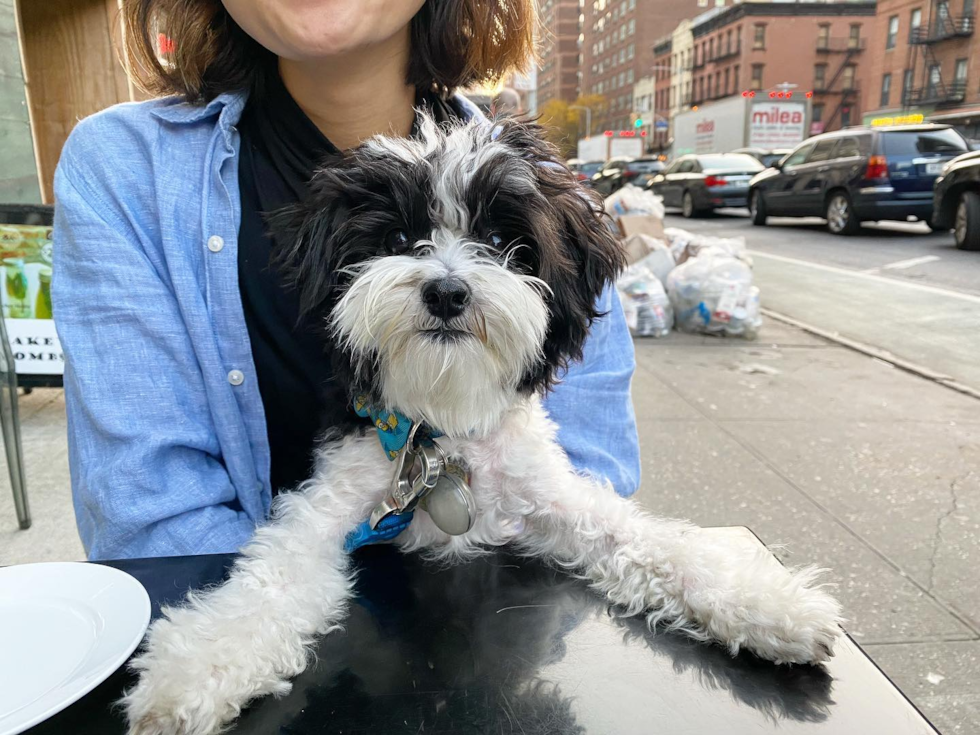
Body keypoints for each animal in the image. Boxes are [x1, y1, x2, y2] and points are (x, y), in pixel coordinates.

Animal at [122, 113, 844, 735]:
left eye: (499, 241)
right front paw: (197, 667)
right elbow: (270, 578)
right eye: (396, 239)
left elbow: (648, 540)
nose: (446, 291)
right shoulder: (332, 505)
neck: (445, 431)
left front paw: (765, 600)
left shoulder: (546, 496)